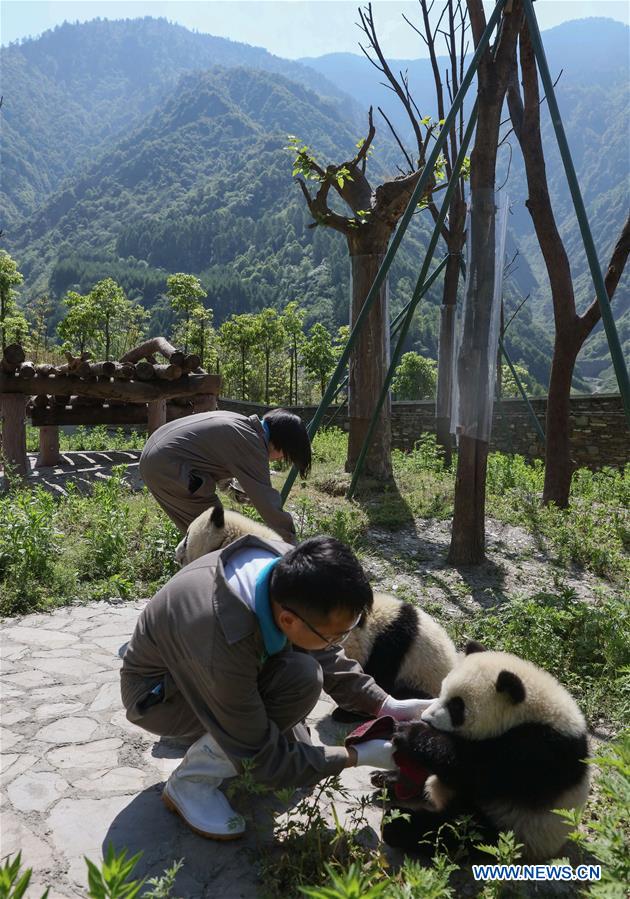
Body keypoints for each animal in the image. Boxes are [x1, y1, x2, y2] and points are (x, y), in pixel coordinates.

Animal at [377, 641, 590, 861]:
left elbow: (473, 769)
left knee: (459, 832)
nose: (426, 718)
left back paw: (397, 824)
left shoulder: (537, 753)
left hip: (514, 828)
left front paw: (410, 731)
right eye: (442, 692)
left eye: (457, 706)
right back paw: (389, 781)